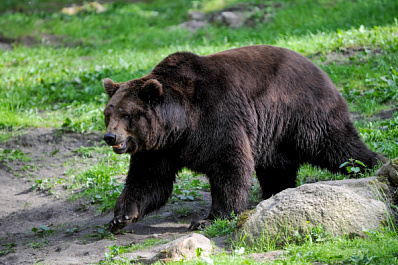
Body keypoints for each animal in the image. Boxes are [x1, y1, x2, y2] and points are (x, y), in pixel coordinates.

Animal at [103, 44, 386, 231]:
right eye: (108, 112)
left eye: (126, 114)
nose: (110, 136)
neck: (179, 125)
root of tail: (320, 69)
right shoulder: (159, 149)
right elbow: (149, 180)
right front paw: (121, 217)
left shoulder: (216, 118)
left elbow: (230, 165)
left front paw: (209, 218)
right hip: (274, 134)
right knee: (277, 167)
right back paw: (274, 193)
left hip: (302, 113)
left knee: (337, 146)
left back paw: (373, 165)